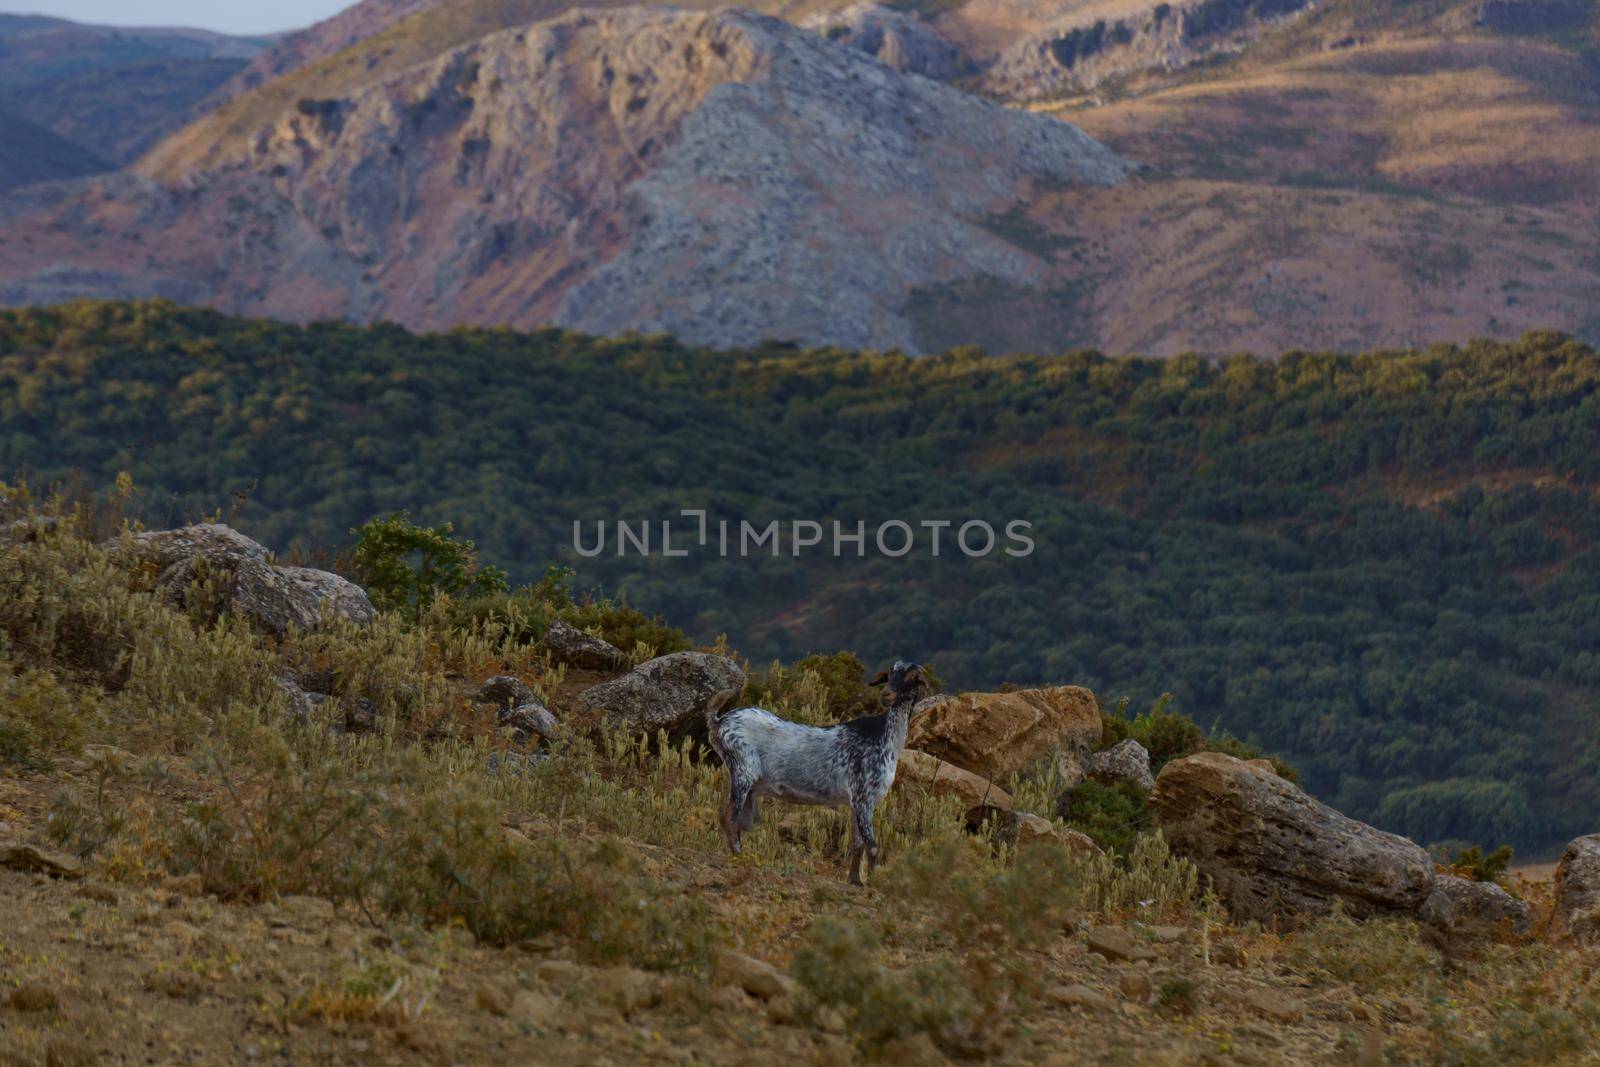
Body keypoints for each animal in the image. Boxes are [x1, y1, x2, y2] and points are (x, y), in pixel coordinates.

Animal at [710, 659, 934, 883]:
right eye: (890, 675)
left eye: (912, 677)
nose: (887, 694)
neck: (884, 737)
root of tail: (719, 722)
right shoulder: (863, 795)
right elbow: (872, 845)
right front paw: (873, 881)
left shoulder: (856, 801)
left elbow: (858, 842)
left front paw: (856, 881)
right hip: (743, 770)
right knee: (728, 818)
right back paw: (740, 857)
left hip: (747, 784)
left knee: (737, 820)